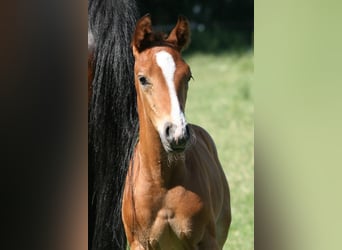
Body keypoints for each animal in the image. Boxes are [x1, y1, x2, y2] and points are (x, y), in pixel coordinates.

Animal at [121, 14, 231, 249]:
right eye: (143, 78)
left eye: (188, 76)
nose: (177, 134)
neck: (163, 181)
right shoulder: (138, 242)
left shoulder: (207, 240)